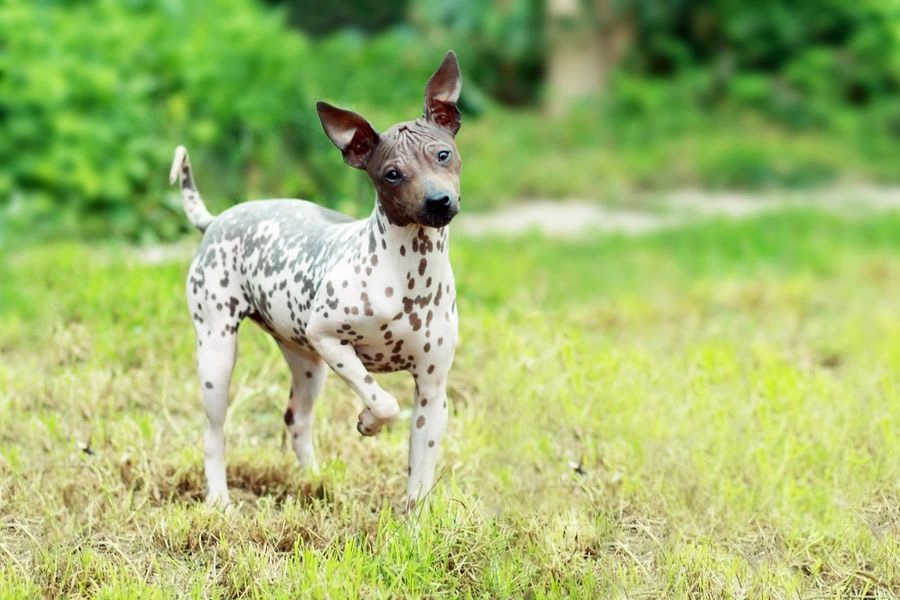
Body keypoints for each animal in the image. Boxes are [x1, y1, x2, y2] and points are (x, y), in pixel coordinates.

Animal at [170, 52, 464, 510]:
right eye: (392, 174)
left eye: (443, 154)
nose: (438, 201)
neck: (408, 276)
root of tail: (216, 219)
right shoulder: (329, 339)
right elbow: (384, 401)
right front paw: (367, 421)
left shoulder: (432, 394)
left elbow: (419, 479)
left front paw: (414, 524)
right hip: (218, 354)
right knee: (214, 433)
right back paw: (219, 499)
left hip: (307, 364)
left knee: (296, 419)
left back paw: (316, 480)